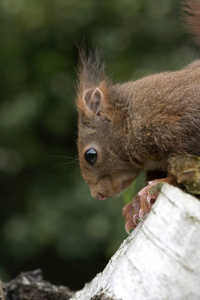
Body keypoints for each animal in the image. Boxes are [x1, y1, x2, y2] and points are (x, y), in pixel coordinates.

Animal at [76, 0, 200, 233]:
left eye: (91, 155)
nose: (97, 195)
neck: (130, 119)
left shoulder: (181, 127)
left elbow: (180, 170)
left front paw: (155, 188)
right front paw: (134, 207)